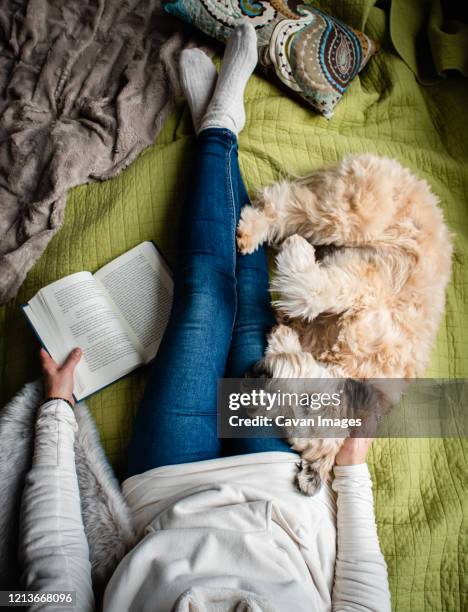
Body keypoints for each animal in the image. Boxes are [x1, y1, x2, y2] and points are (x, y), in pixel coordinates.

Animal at [238, 155, 454, 494]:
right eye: (310, 401)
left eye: (290, 417)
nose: (259, 379)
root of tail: (419, 183)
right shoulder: (361, 291)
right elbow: (312, 292)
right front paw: (297, 252)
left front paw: (283, 333)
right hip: (352, 217)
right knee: (287, 201)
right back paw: (257, 230)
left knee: (292, 204)